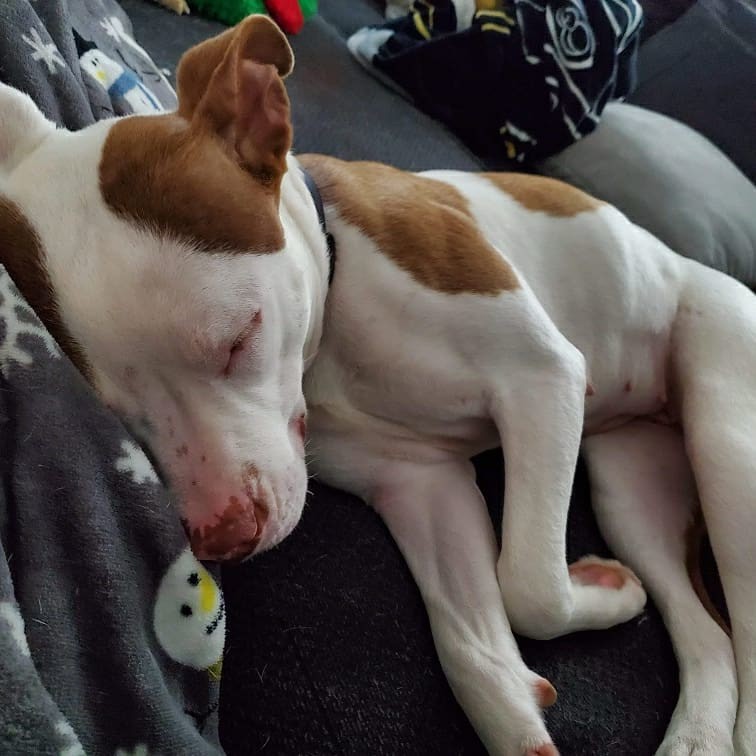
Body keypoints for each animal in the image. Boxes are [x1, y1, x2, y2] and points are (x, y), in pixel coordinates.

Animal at [1, 13, 752, 756]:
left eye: (240, 338)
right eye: (127, 415)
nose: (224, 537)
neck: (335, 321)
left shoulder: (543, 378)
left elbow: (529, 586)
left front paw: (579, 593)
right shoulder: (422, 486)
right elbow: (473, 645)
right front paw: (532, 688)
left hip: (725, 445)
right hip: (630, 490)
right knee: (709, 635)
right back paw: (697, 732)